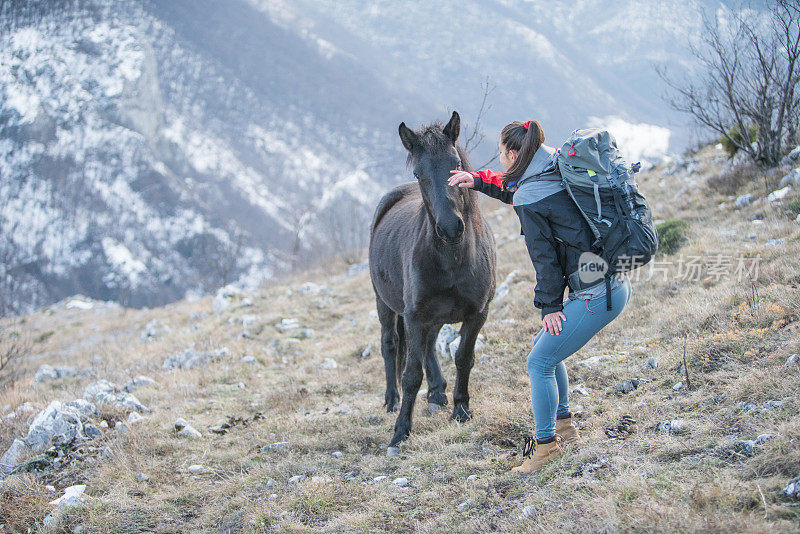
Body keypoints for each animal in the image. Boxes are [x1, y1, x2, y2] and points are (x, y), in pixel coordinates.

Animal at [368, 112, 494, 452]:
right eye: (418, 172)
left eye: (456, 163)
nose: (450, 228)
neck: (452, 260)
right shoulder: (414, 316)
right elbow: (411, 374)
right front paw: (400, 432)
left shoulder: (477, 314)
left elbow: (464, 358)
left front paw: (461, 409)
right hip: (386, 305)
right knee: (390, 345)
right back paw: (391, 401)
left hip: (433, 316)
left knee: (428, 344)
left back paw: (438, 393)